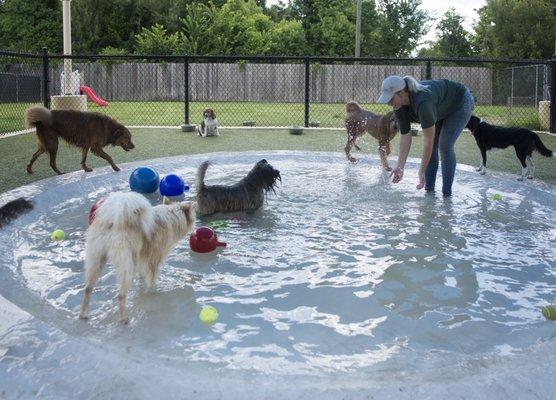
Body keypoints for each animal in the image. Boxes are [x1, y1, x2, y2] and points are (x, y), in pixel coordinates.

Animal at [79, 191, 197, 322]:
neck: (172, 215)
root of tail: (113, 220)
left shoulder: (141, 257)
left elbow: (142, 274)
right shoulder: (154, 260)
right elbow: (152, 281)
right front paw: (152, 292)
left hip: (96, 259)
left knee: (88, 289)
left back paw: (83, 314)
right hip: (126, 264)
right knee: (121, 295)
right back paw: (124, 319)